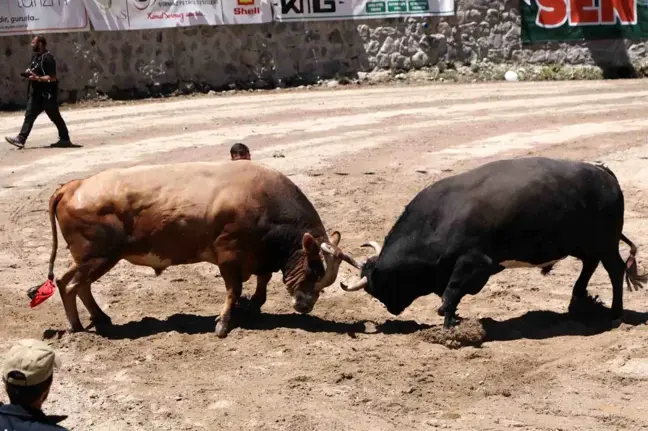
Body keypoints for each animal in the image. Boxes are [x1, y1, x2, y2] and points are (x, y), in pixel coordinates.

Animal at [30, 160, 360, 340]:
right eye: (314, 269)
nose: (305, 306)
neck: (264, 201)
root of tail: (73, 185)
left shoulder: (258, 258)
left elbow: (262, 281)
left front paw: (254, 307)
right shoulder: (228, 255)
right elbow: (234, 290)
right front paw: (224, 323)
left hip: (93, 258)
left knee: (74, 284)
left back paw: (99, 319)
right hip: (97, 257)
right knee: (70, 285)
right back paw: (78, 326)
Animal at [342, 157, 644, 330]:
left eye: (378, 287)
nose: (391, 309)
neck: (438, 219)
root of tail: (603, 172)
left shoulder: (476, 263)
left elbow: (451, 293)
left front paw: (450, 326)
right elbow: (450, 294)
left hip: (606, 243)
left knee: (614, 270)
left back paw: (615, 314)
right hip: (587, 245)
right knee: (590, 266)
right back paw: (577, 302)